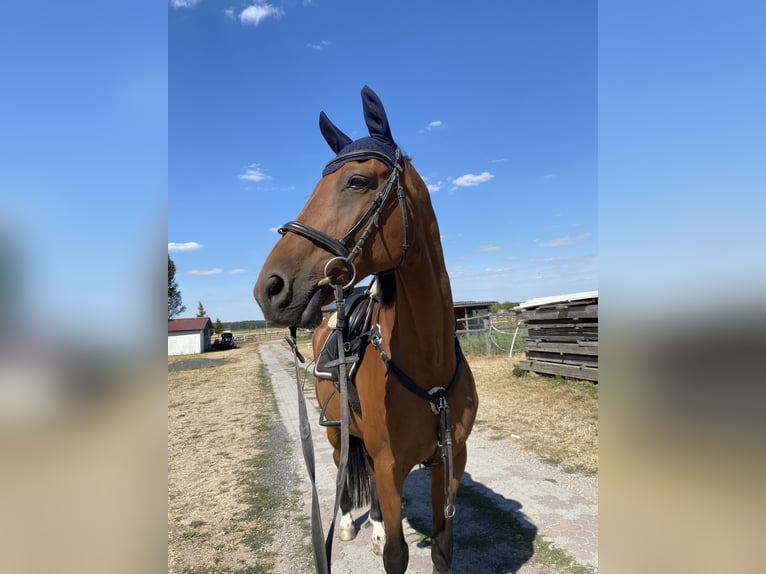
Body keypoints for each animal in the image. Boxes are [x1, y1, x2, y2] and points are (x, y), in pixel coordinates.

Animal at [255, 86, 478, 574]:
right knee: (343, 464)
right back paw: (350, 525)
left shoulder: (449, 462)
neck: (428, 364)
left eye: (356, 181)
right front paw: (378, 536)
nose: (269, 289)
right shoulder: (390, 463)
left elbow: (442, 548)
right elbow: (397, 555)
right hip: (339, 433)